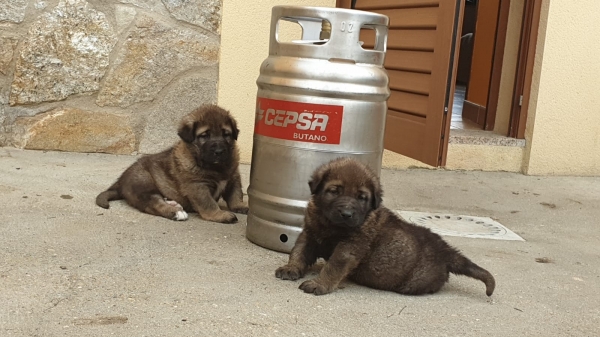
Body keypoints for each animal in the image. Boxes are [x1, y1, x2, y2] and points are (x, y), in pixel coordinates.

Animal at [95, 103, 248, 222]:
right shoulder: (197, 186)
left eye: (226, 134)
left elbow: (236, 194)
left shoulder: (233, 177)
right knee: (153, 204)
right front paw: (219, 215)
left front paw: (240, 206)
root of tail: (120, 182)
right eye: (204, 136)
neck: (217, 167)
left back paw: (174, 204)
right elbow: (208, 203)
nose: (219, 151)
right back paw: (175, 212)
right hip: (143, 183)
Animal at [274, 156, 494, 296]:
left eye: (362, 197)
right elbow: (299, 251)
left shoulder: (349, 246)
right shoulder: (310, 233)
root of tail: (445, 250)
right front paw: (291, 268)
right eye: (334, 191)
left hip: (415, 281)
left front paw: (320, 284)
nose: (347, 214)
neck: (330, 224)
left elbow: (334, 266)